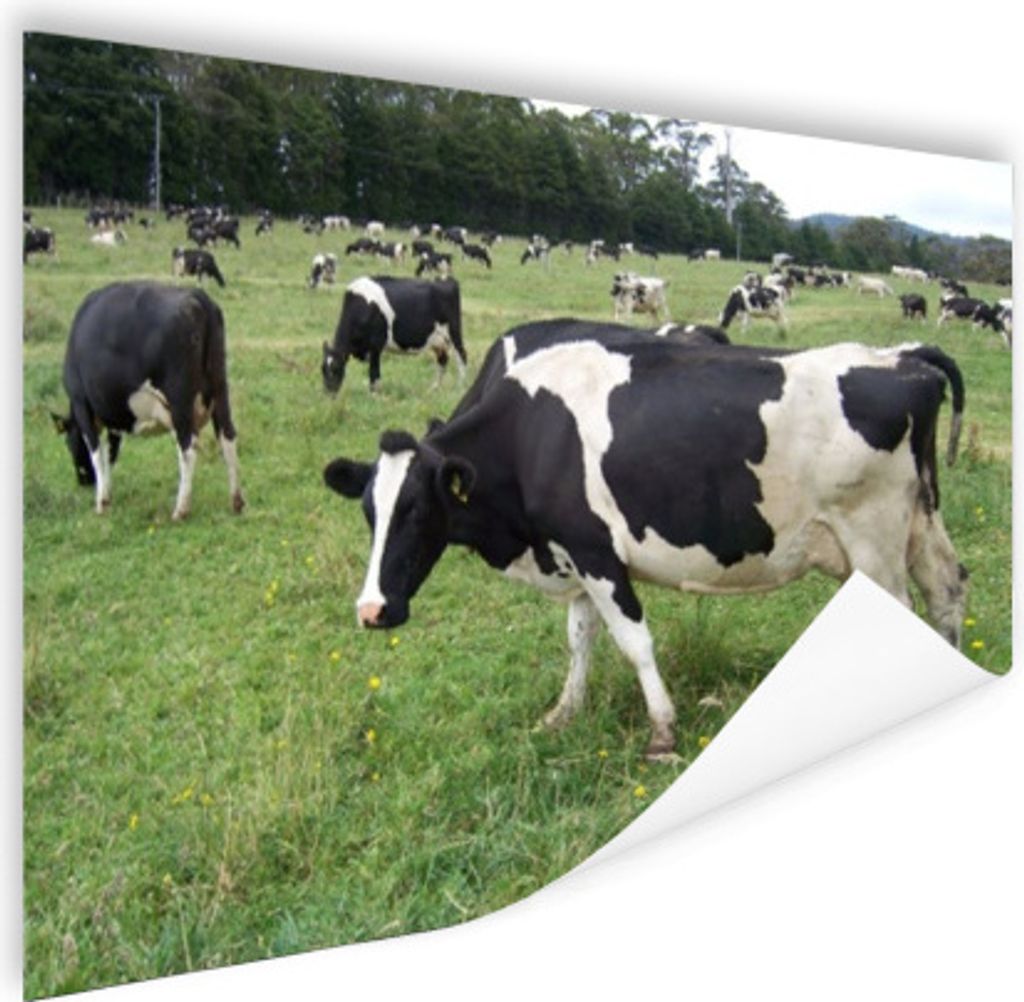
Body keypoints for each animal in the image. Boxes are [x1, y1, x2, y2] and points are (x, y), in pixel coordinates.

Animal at [51, 282, 244, 520]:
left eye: (69, 444)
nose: (83, 482)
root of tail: (197, 295)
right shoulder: (114, 416)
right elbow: (111, 454)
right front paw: (109, 494)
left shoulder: (81, 403)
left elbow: (97, 453)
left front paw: (101, 501)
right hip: (220, 389)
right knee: (228, 437)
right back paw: (236, 502)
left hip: (180, 400)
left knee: (188, 447)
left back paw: (180, 510)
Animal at [321, 276, 466, 394]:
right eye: (322, 369)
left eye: (335, 368)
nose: (329, 393)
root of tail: (446, 280)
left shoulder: (376, 344)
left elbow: (374, 371)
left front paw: (374, 394)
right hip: (438, 340)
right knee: (443, 360)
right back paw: (434, 389)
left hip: (454, 332)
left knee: (462, 356)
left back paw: (460, 387)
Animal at [323, 320, 967, 760]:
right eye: (369, 511)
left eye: (416, 510)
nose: (372, 610)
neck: (529, 435)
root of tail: (900, 357)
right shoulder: (572, 553)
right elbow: (579, 639)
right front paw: (564, 712)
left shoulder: (594, 551)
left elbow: (634, 642)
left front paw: (661, 731)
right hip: (919, 520)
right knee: (949, 589)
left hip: (872, 538)